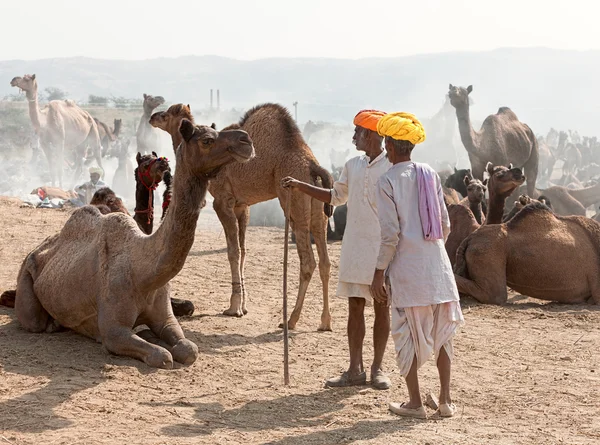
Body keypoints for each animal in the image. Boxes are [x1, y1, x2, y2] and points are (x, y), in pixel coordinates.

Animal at [149, 101, 332, 330]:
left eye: (166, 115)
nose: (153, 117)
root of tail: (312, 165)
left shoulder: (222, 202)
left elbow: (233, 252)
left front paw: (233, 307)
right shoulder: (242, 206)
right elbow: (244, 251)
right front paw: (243, 306)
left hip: (294, 201)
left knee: (308, 261)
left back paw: (290, 319)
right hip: (318, 208)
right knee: (325, 261)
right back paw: (325, 321)